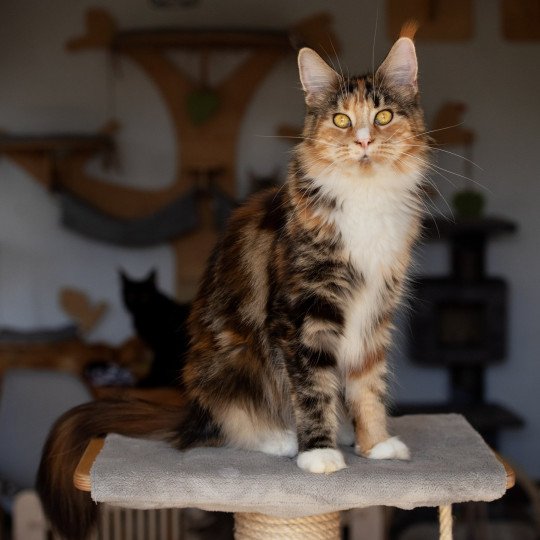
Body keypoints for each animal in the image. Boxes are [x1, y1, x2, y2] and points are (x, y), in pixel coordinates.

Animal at [35, 34, 428, 540]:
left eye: (383, 116)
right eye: (341, 120)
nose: (363, 140)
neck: (366, 198)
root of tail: (192, 409)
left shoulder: (375, 313)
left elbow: (368, 386)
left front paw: (376, 444)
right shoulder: (302, 313)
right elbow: (312, 388)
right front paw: (319, 454)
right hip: (234, 361)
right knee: (229, 424)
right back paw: (282, 439)